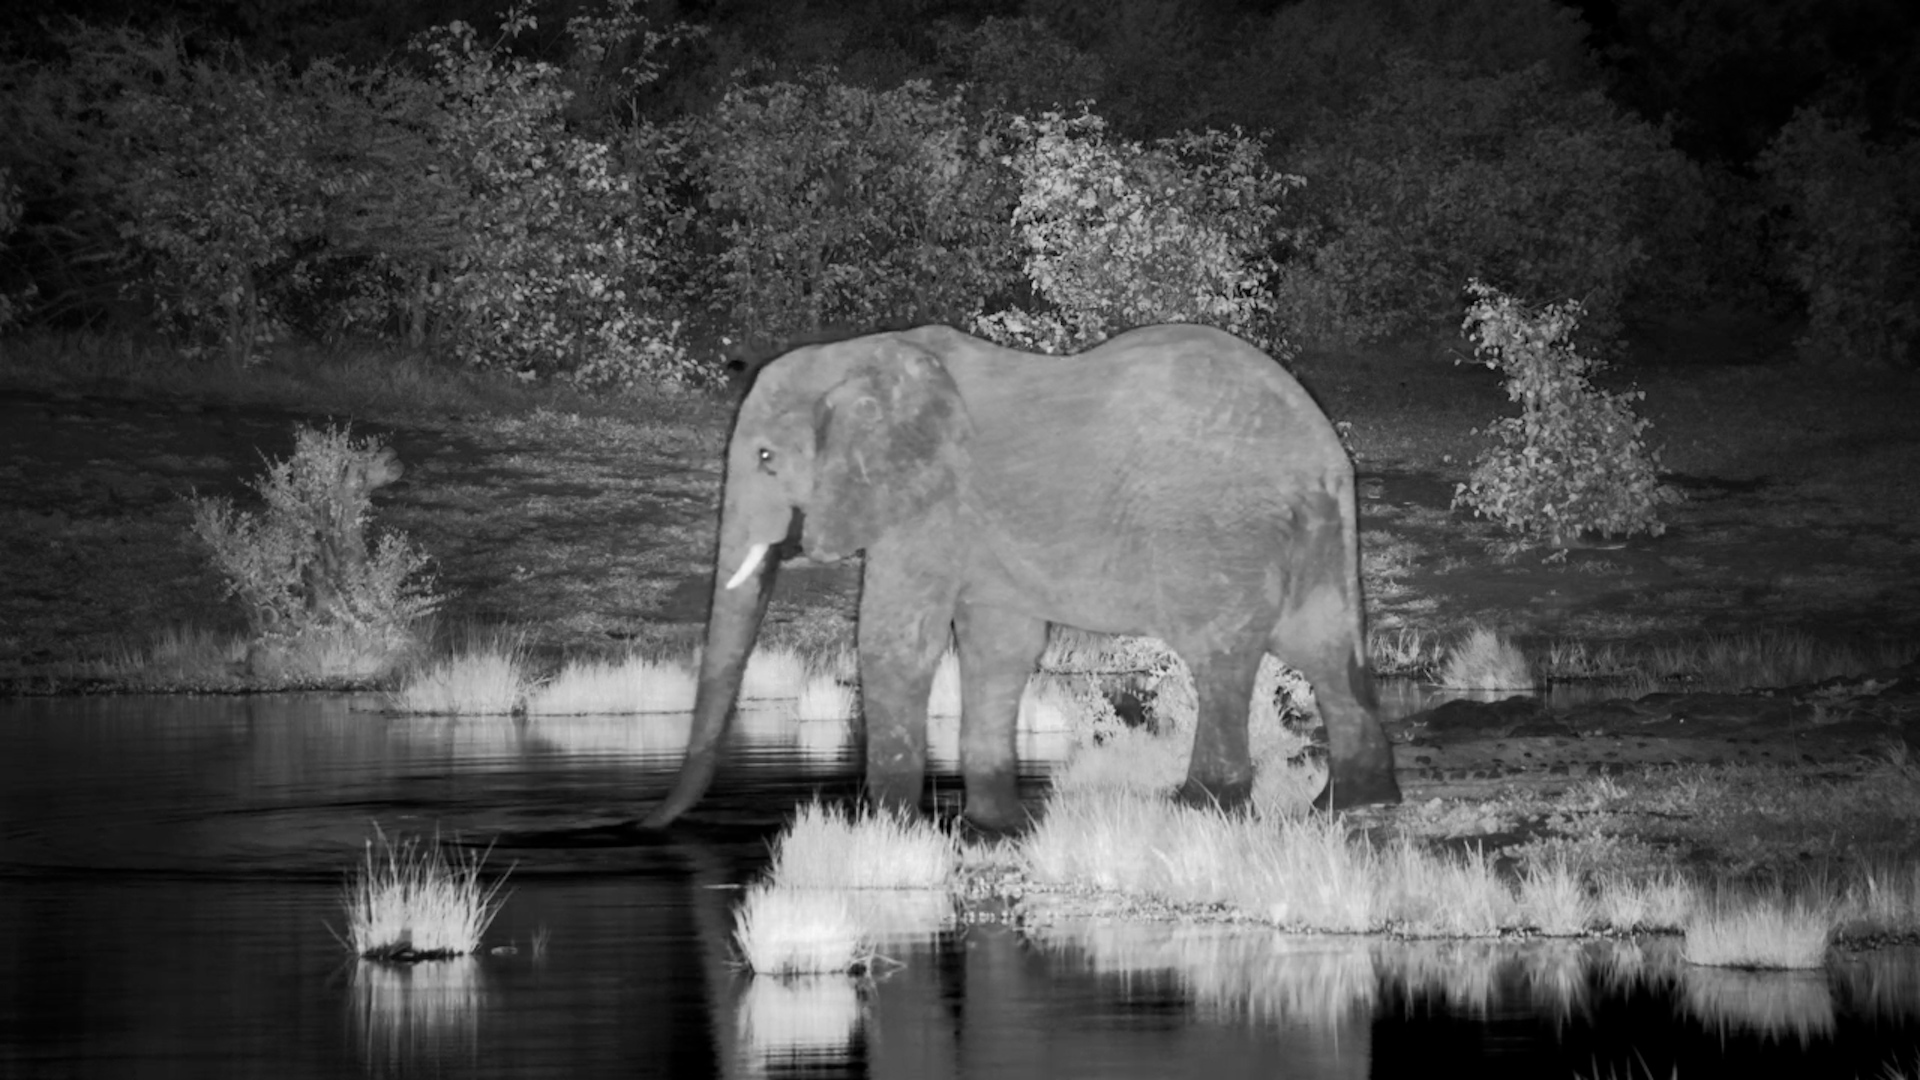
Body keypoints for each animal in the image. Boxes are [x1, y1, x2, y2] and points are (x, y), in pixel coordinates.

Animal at [644, 323, 1401, 834]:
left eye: (766, 457)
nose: (640, 830)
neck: (857, 355)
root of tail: (1327, 453)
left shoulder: (930, 503)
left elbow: (897, 642)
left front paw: (886, 828)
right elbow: (998, 649)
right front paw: (993, 826)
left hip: (1220, 530)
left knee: (1220, 654)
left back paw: (1198, 806)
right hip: (1314, 537)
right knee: (1323, 647)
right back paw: (1350, 802)